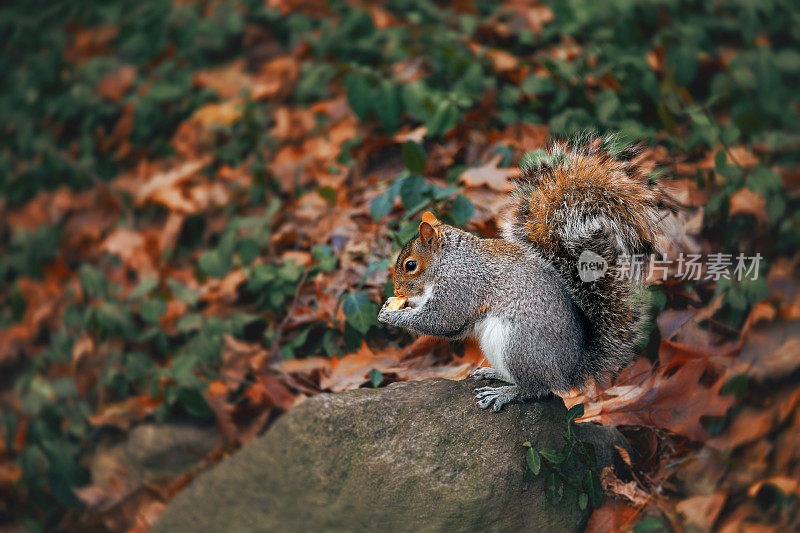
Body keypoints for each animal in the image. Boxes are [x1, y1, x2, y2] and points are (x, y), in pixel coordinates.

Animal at [376, 136, 668, 412]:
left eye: (410, 265)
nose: (398, 291)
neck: (448, 259)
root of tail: (570, 370)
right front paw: (394, 303)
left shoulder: (460, 285)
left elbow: (440, 320)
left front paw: (392, 314)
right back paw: (492, 373)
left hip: (518, 347)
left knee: (537, 388)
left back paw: (505, 393)